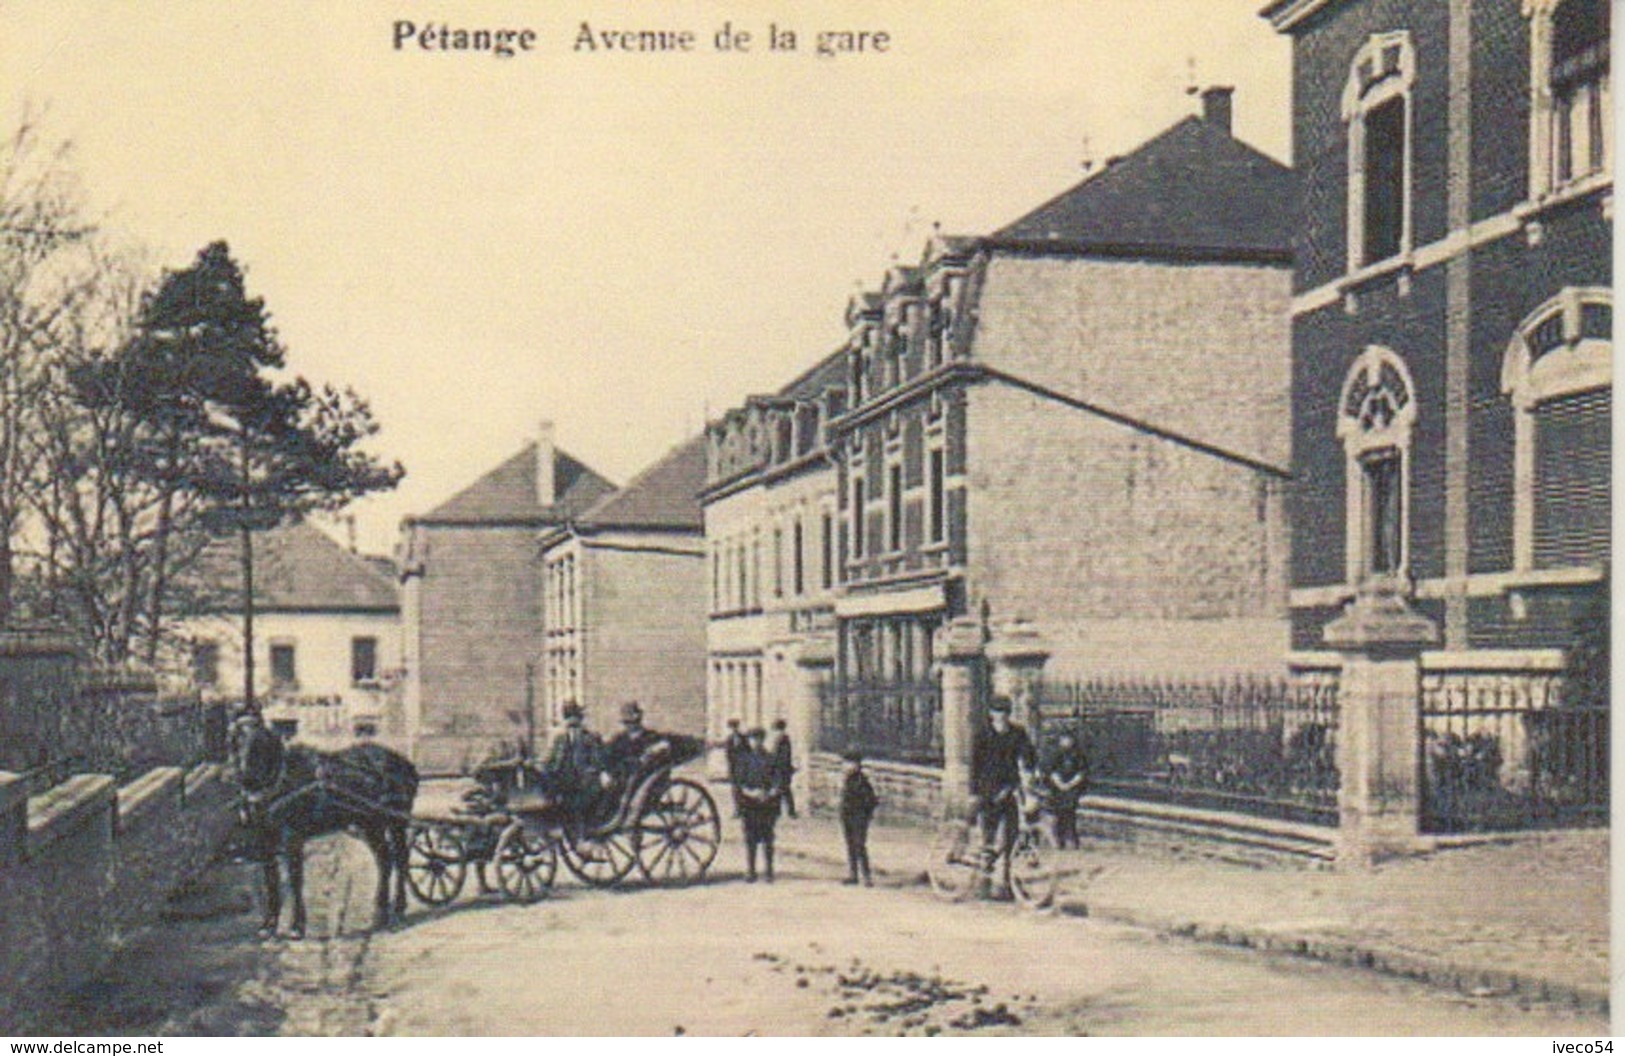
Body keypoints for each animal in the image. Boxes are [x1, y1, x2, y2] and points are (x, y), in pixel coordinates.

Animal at [229, 724, 419, 935]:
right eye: (237, 740)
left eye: (260, 743)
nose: (242, 775)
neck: (283, 780)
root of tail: (405, 763)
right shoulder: (264, 842)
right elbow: (271, 881)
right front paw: (268, 925)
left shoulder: (292, 839)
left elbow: (295, 880)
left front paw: (296, 926)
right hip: (370, 823)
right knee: (384, 860)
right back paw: (379, 914)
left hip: (396, 820)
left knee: (401, 859)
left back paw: (399, 909)